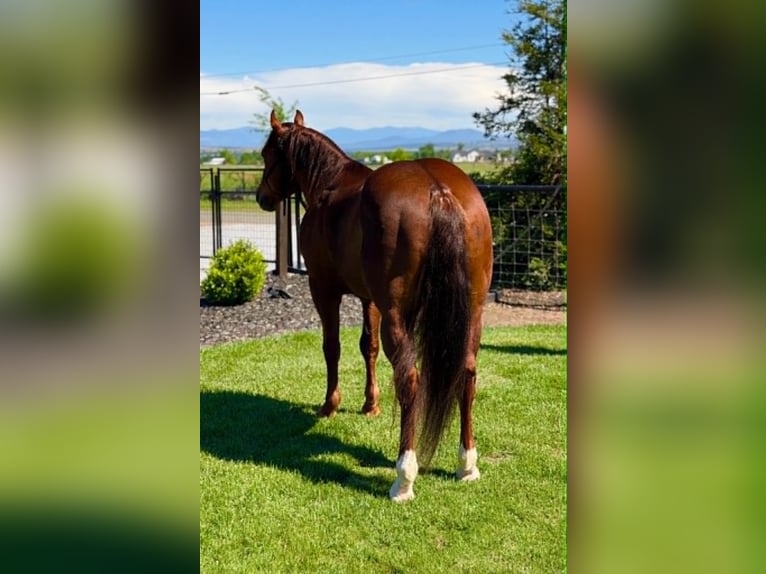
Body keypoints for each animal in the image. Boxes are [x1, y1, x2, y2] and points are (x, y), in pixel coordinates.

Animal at [256, 110, 493, 501]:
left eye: (266, 154)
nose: (262, 196)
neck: (330, 185)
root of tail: (438, 190)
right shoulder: (370, 300)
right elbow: (368, 347)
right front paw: (370, 404)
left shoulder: (324, 289)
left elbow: (332, 347)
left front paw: (330, 405)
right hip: (472, 312)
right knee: (467, 372)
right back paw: (467, 464)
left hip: (398, 314)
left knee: (409, 380)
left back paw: (404, 476)